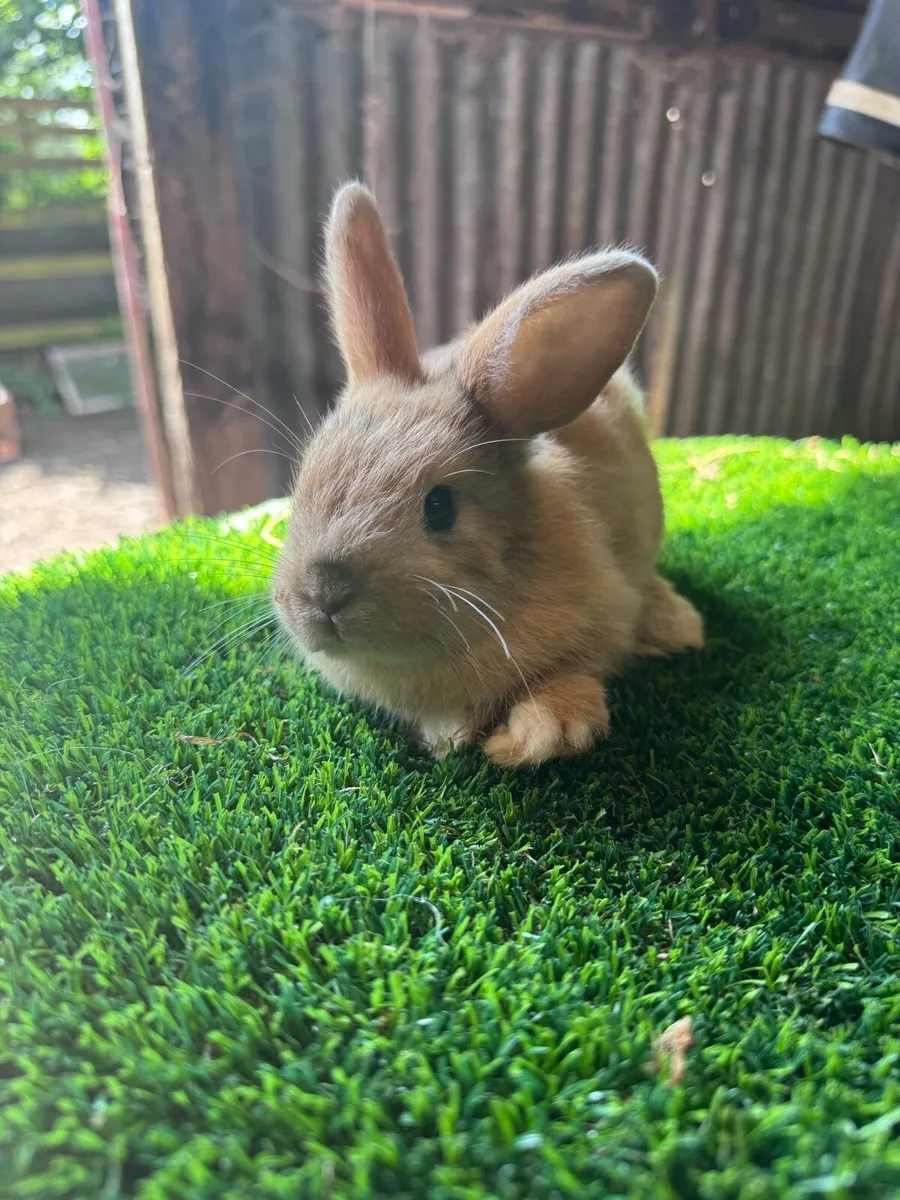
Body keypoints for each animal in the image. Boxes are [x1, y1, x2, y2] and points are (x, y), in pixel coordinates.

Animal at [272, 182, 703, 767]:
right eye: (302, 486)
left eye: (440, 508)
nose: (323, 595)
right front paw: (448, 733)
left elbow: (570, 677)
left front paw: (537, 735)